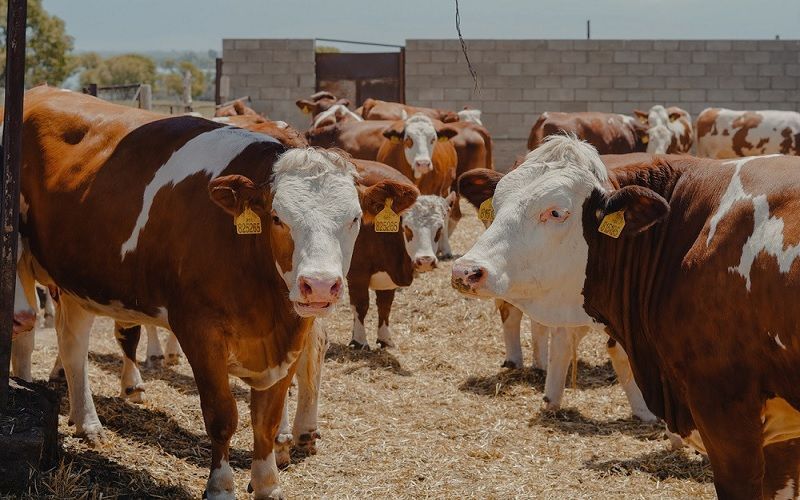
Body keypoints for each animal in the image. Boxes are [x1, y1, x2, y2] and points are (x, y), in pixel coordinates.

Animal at [16, 87, 416, 500]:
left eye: (354, 218)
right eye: (277, 217)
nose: (320, 285)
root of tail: (43, 90)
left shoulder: (291, 337)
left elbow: (267, 419)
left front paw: (268, 483)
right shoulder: (198, 330)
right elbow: (222, 415)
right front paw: (221, 486)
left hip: (76, 278)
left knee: (73, 345)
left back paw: (87, 423)